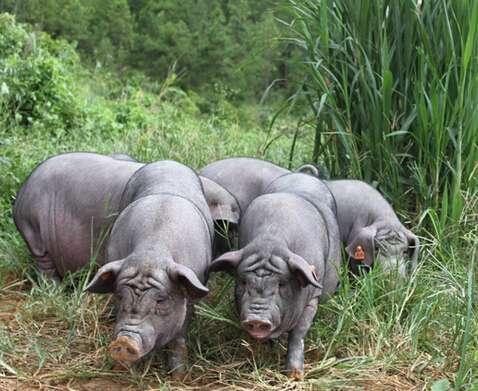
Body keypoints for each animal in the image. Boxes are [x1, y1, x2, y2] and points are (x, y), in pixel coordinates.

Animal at [84, 161, 213, 378]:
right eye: (119, 296)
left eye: (161, 300)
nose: (124, 340)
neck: (151, 253)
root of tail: (168, 162)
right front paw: (125, 369)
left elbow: (179, 336)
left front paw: (178, 376)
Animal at [209, 173, 340, 382]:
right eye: (243, 282)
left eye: (281, 284)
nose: (257, 318)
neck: (270, 241)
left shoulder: (312, 298)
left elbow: (298, 334)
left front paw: (295, 375)